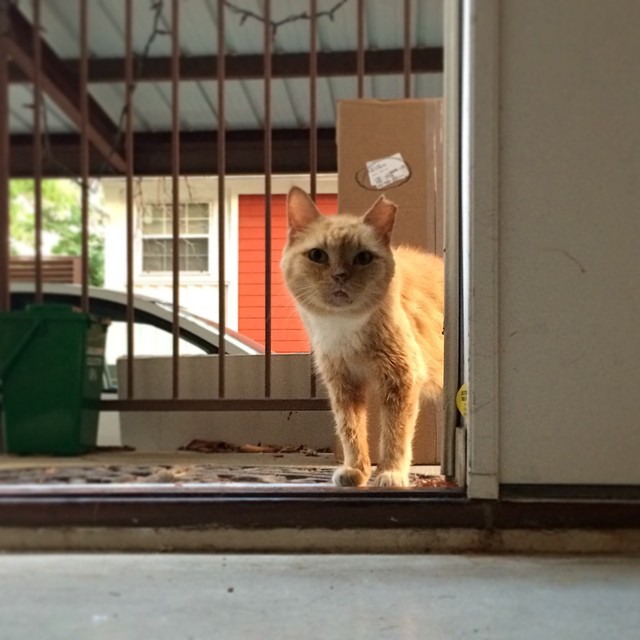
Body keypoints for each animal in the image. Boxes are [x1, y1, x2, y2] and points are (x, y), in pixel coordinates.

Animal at [282, 188, 442, 488]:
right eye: (317, 255)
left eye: (364, 258)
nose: (340, 276)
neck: (343, 328)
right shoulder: (343, 385)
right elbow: (351, 431)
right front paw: (356, 470)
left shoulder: (401, 380)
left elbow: (394, 435)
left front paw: (391, 473)